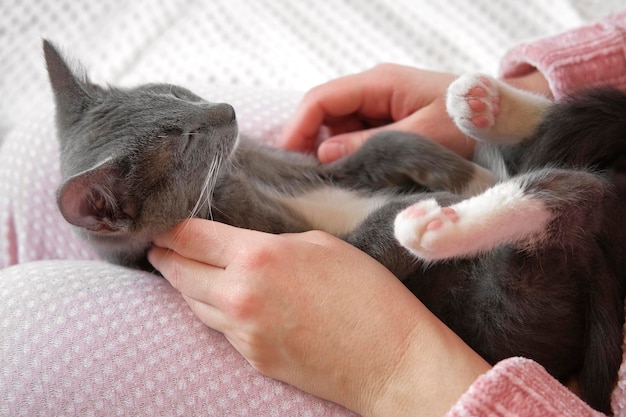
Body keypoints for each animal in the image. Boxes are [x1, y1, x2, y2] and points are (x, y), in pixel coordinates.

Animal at [44, 40, 624, 412]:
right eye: (182, 141)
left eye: (177, 93)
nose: (227, 109)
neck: (240, 179)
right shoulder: (308, 237)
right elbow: (369, 242)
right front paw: (434, 197)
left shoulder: (314, 167)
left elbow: (378, 144)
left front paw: (457, 170)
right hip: (509, 300)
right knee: (575, 198)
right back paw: (442, 220)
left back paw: (483, 113)